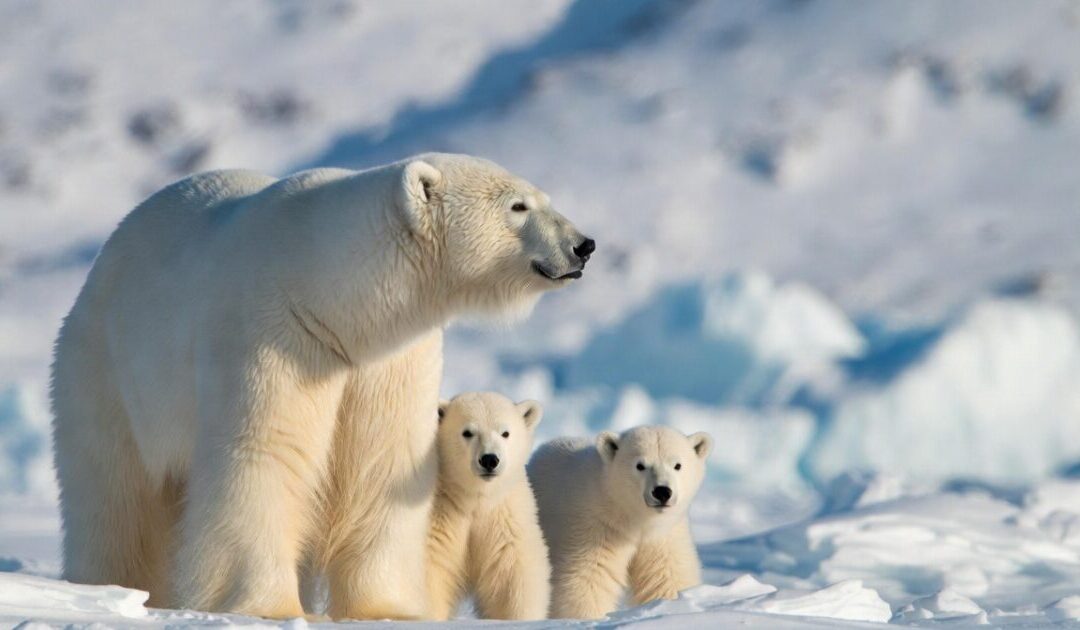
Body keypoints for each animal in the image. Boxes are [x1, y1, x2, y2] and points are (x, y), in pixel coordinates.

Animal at [425, 392, 551, 620]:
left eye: (505, 433)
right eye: (467, 432)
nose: (489, 459)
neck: (476, 499)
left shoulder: (504, 518)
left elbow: (512, 576)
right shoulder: (441, 514)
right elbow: (433, 570)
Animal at [528, 426, 711, 619]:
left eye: (677, 465)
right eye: (640, 465)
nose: (662, 492)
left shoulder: (665, 534)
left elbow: (667, 575)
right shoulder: (595, 525)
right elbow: (587, 578)